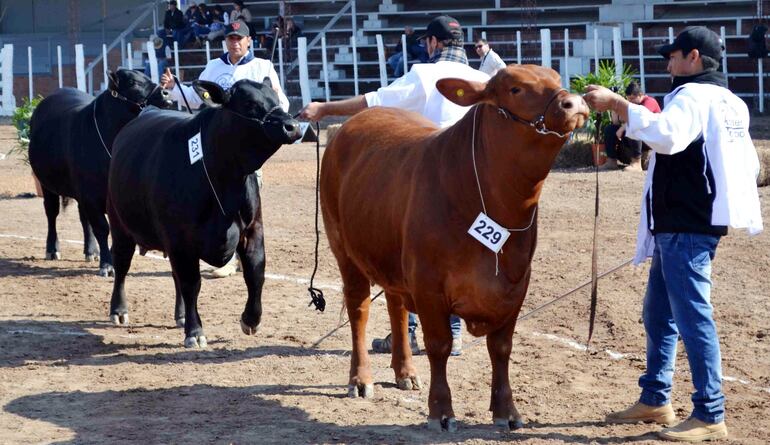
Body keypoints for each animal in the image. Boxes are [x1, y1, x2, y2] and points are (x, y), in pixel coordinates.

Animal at [28, 70, 171, 276]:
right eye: (133, 82)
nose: (166, 93)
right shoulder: (91, 195)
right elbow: (102, 228)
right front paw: (107, 265)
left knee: (83, 218)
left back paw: (91, 251)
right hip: (47, 184)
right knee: (51, 212)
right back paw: (53, 249)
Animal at [108, 78, 300, 346]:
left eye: (278, 100)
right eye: (250, 103)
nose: (292, 126)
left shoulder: (252, 230)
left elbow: (255, 272)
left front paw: (251, 319)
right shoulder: (180, 239)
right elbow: (191, 283)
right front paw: (195, 331)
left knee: (174, 275)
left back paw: (180, 316)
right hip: (120, 224)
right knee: (122, 264)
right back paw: (119, 310)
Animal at [320, 65, 584, 430]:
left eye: (557, 80)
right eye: (515, 88)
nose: (576, 103)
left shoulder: (517, 284)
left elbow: (501, 348)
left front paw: (507, 412)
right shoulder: (428, 284)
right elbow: (439, 345)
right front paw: (441, 411)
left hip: (392, 258)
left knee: (396, 308)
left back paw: (405, 372)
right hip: (344, 249)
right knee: (359, 308)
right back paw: (360, 380)